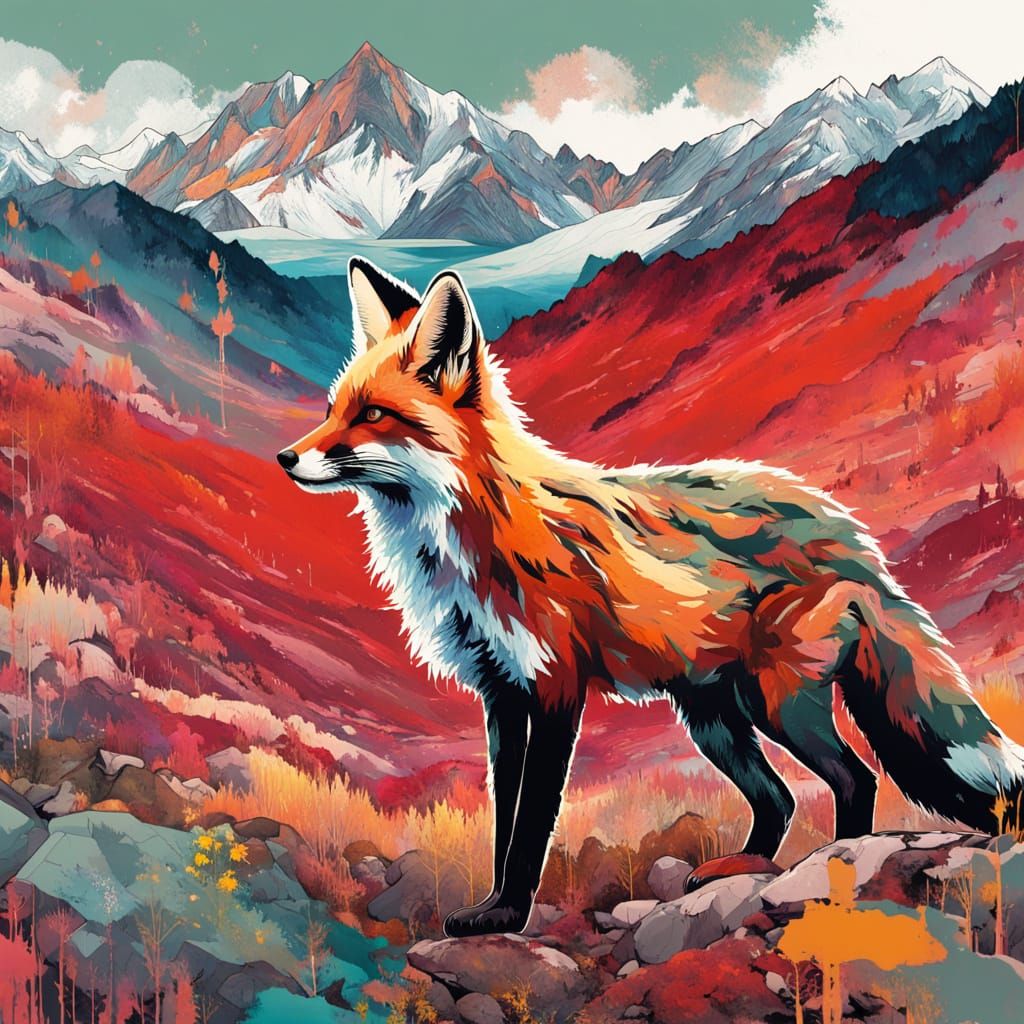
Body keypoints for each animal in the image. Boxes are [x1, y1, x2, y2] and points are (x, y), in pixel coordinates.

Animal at [278, 257, 1024, 938]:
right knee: (780, 799)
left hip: (776, 701)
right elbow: (502, 821)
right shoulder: (500, 695)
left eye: (373, 415)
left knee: (855, 780)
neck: (468, 538)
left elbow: (531, 825)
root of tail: (848, 530)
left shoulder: (555, 688)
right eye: (332, 411)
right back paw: (743, 866)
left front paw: (508, 915)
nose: (286, 458)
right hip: (714, 718)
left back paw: (832, 874)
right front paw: (490, 908)